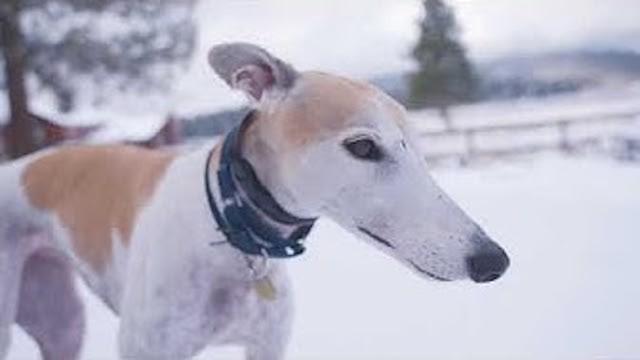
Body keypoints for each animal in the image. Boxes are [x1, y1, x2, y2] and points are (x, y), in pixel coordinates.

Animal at [0, 43, 510, 360]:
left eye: (421, 150)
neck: (228, 229)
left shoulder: (266, 345)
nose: (493, 261)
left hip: (60, 324)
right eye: (364, 146)